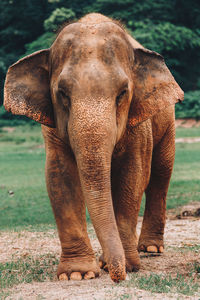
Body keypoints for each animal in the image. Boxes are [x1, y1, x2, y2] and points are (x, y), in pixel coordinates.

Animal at [3, 12, 184, 282]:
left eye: (122, 93)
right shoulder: (53, 129)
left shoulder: (138, 123)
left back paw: (150, 249)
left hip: (167, 120)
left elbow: (133, 176)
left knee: (160, 174)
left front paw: (124, 265)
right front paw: (78, 274)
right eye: (62, 93)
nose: (117, 277)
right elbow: (60, 177)